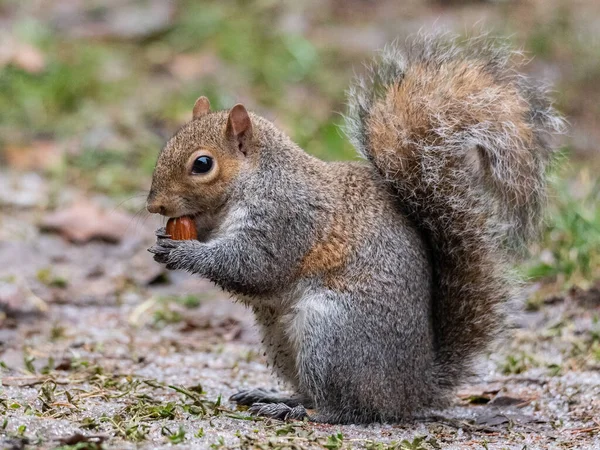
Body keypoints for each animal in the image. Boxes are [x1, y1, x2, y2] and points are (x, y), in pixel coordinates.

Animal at [145, 33, 564, 424]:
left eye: (202, 164)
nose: (154, 206)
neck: (252, 181)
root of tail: (412, 390)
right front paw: (165, 238)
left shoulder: (286, 218)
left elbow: (253, 266)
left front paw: (185, 253)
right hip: (281, 339)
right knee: (314, 391)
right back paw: (278, 396)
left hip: (331, 335)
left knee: (346, 409)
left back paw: (299, 412)